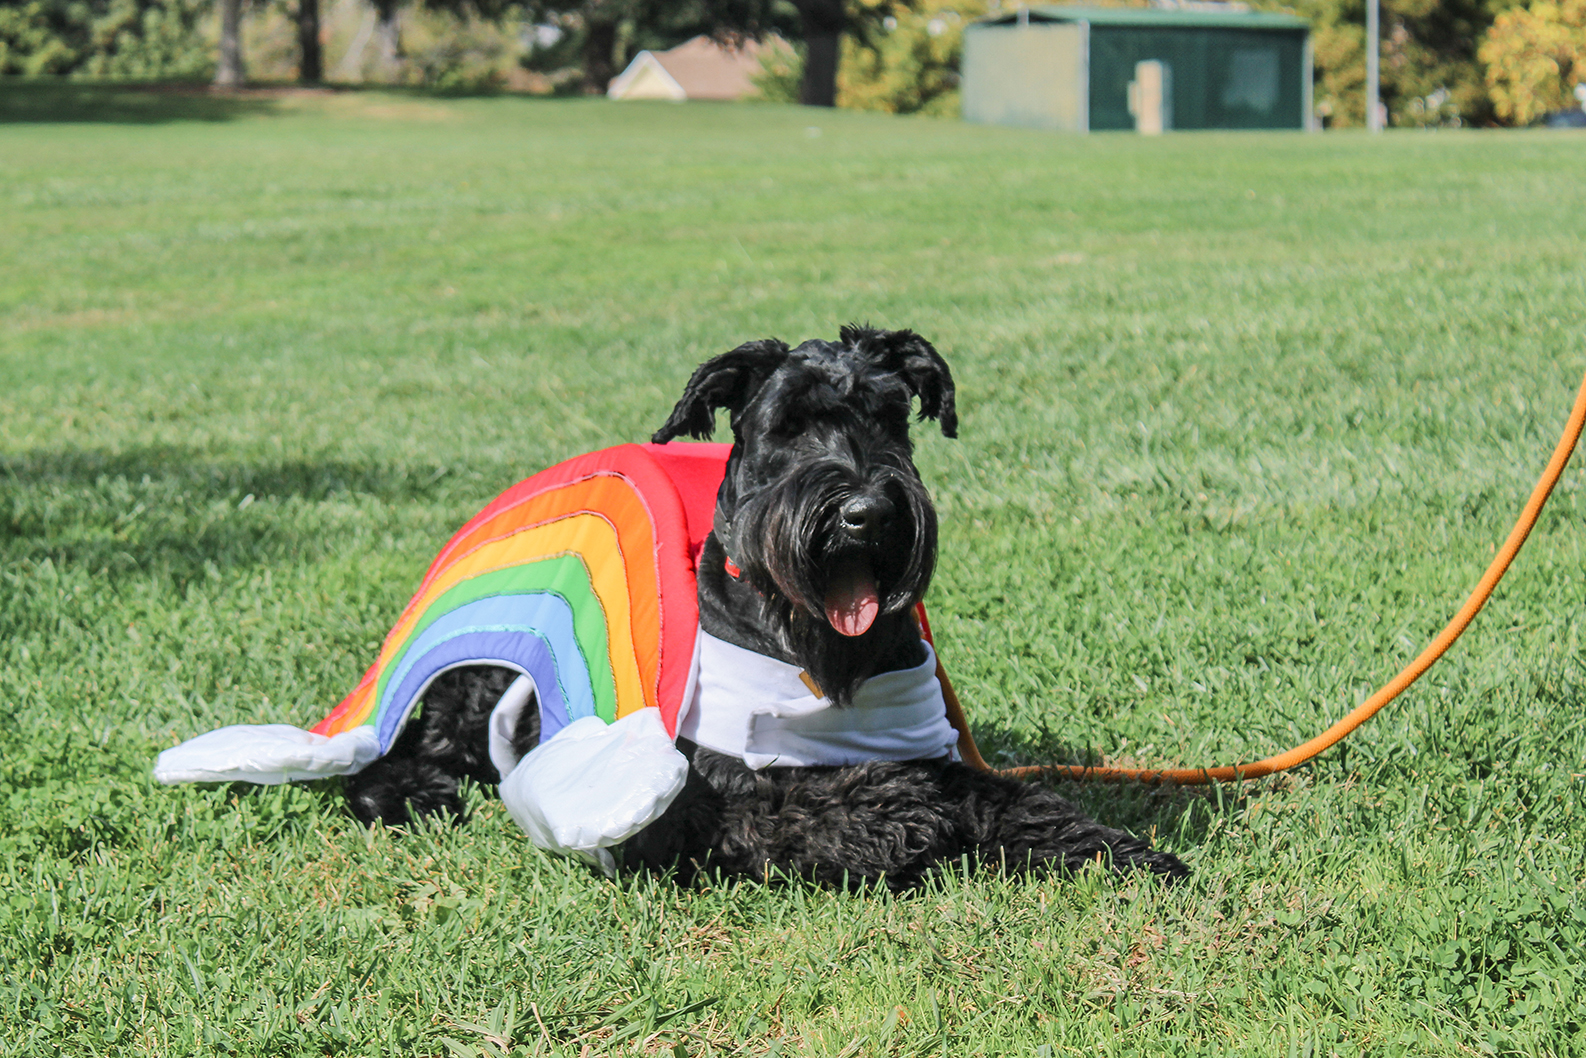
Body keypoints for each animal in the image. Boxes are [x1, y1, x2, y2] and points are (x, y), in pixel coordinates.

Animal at [350, 326, 1192, 888]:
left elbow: (1016, 799)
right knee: (406, 746)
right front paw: (901, 814)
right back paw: (408, 790)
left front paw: (1125, 850)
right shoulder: (705, 803)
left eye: (891, 419)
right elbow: (807, 805)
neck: (817, 661)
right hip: (472, 687)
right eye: (786, 425)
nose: (864, 514)